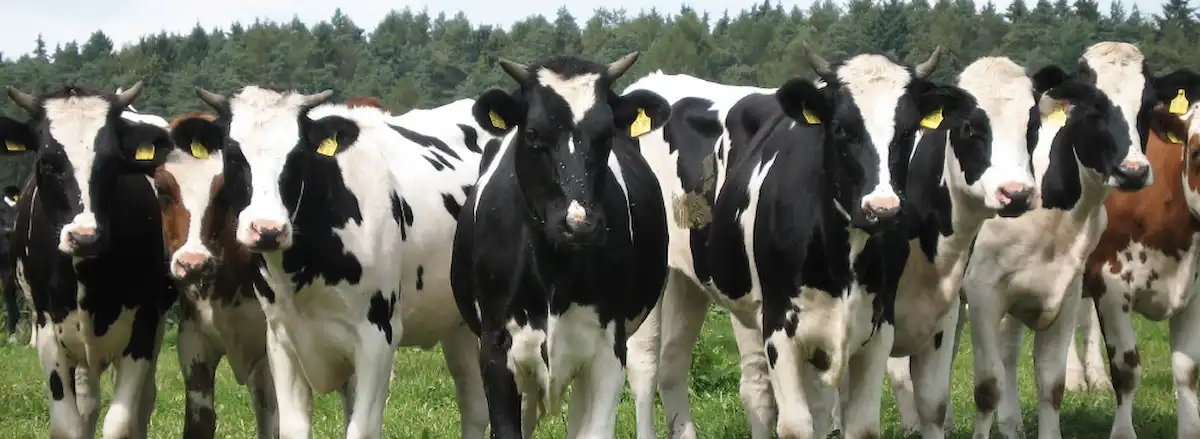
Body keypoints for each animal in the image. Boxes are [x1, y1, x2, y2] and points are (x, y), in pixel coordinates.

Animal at [0, 82, 179, 439]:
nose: (85, 236)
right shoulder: (49, 331)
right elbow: (69, 423)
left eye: (112, 162)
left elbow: (121, 422)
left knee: (143, 401)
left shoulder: (144, 325)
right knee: (88, 403)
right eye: (47, 162)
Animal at [189, 85, 495, 439]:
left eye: (298, 157)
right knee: (474, 406)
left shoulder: (378, 337)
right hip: (457, 325)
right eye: (233, 156)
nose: (267, 230)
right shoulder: (282, 340)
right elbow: (293, 428)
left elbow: (361, 429)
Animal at [451, 52, 671, 439]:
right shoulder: (496, 348)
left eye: (605, 135)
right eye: (534, 133)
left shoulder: (607, 350)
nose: (580, 224)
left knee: (644, 372)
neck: (552, 270)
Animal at [622, 43, 981, 439]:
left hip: (690, 280)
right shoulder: (780, 329)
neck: (844, 259)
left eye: (907, 131)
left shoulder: (877, 328)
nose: (882, 209)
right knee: (645, 364)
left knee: (673, 362)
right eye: (840, 129)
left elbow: (859, 424)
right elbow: (797, 425)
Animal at [956, 41, 1168, 439]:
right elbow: (987, 386)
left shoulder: (1065, 292)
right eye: (1093, 105)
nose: (1133, 172)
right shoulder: (983, 292)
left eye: (1147, 106)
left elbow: (1051, 385)